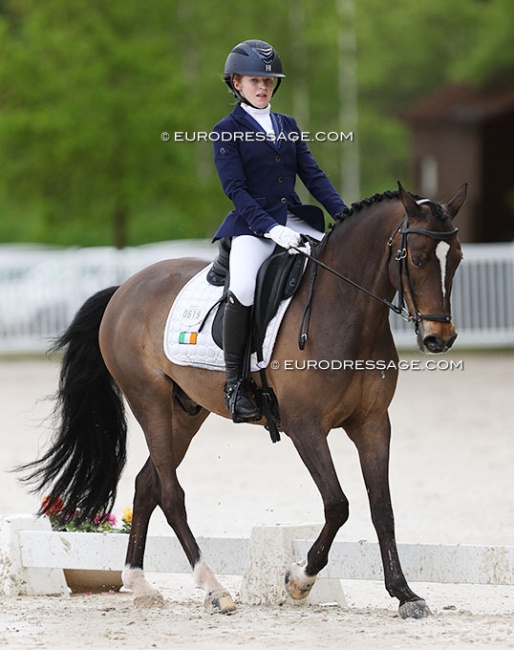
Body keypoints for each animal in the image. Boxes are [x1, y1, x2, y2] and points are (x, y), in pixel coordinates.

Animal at [21, 181, 464, 616]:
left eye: (457, 259)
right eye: (418, 259)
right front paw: (299, 580)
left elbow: (382, 509)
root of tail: (126, 288)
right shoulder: (305, 428)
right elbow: (338, 504)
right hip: (148, 400)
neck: (344, 311)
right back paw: (213, 588)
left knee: (148, 484)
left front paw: (405, 593)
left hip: (186, 412)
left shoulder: (372, 423)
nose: (438, 339)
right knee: (170, 493)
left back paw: (140, 583)